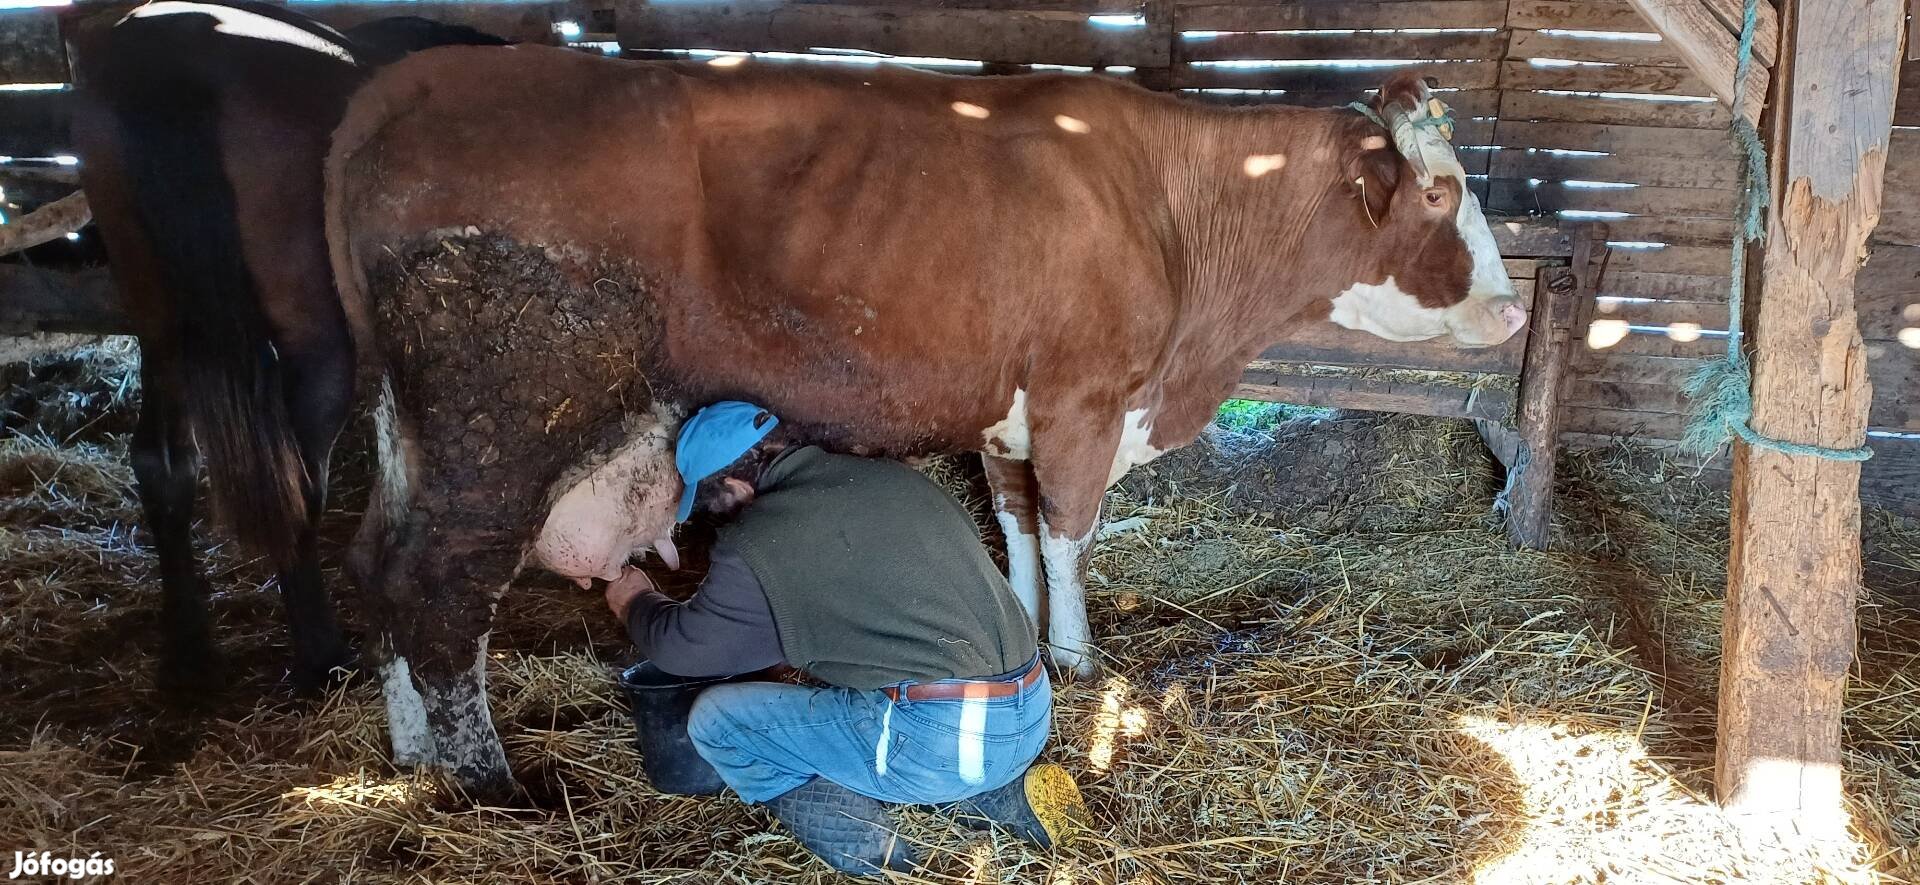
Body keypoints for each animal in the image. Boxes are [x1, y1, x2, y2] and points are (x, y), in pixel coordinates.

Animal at [69, 0, 510, 694]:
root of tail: (171, 49)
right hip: (313, 338)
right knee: (296, 477)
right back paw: (321, 656)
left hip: (162, 321)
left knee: (162, 462)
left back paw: (189, 655)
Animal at [334, 44, 1528, 790]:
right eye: (1439, 192)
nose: (1515, 308)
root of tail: (414, 81)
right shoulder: (1084, 398)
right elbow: (1070, 529)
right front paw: (1077, 661)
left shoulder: (1009, 418)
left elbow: (1016, 527)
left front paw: (1027, 627)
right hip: (499, 423)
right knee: (434, 589)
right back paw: (491, 783)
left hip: (408, 431)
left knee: (374, 563)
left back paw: (409, 755)